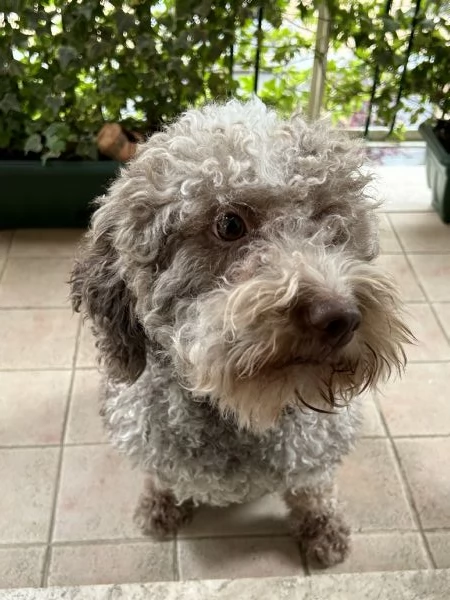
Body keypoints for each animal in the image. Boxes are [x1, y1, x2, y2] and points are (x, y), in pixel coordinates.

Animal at [72, 98, 414, 568]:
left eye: (332, 222)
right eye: (230, 224)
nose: (341, 316)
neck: (237, 416)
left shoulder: (315, 449)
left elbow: (312, 487)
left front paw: (323, 527)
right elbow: (162, 475)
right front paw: (160, 505)